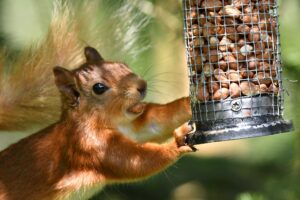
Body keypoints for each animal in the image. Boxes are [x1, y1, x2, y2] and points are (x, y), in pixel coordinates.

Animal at [0, 47, 193, 200]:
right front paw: (178, 143)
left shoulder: (133, 128)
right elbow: (135, 162)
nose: (142, 85)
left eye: (123, 65)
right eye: (99, 88)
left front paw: (190, 102)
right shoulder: (91, 146)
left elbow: (157, 122)